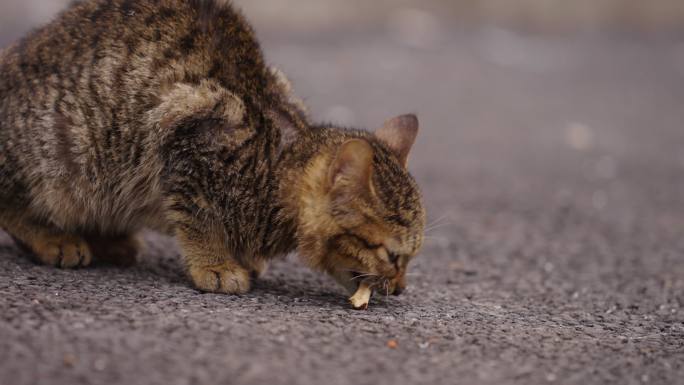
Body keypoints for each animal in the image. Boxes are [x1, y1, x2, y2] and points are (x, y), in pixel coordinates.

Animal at [0, 0, 424, 300]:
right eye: (392, 255)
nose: (402, 287)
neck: (273, 164)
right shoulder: (187, 139)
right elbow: (198, 218)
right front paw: (216, 264)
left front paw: (245, 258)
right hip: (65, 153)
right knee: (12, 204)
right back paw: (53, 238)